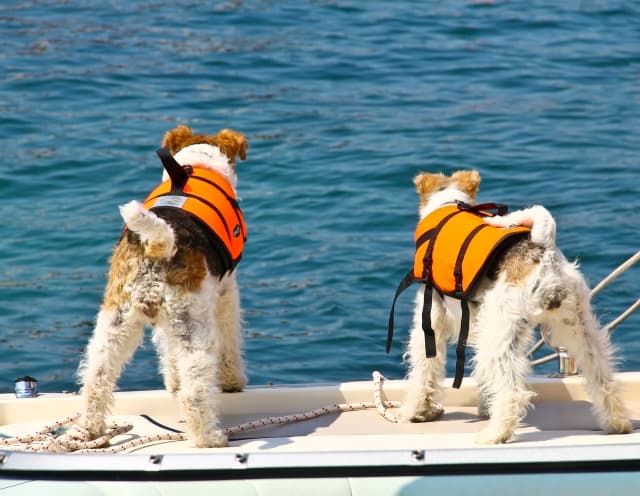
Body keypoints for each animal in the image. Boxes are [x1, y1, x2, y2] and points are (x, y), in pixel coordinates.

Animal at [76, 123, 249, 446]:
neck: (196, 165)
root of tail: (158, 246)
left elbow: (167, 351)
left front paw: (173, 382)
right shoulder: (226, 292)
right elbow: (230, 342)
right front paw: (233, 380)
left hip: (119, 318)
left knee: (96, 376)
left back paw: (92, 429)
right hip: (194, 325)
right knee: (195, 391)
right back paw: (210, 438)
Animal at [390, 171, 632, 446]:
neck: (448, 203)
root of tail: (545, 253)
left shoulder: (430, 322)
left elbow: (423, 372)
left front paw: (413, 412)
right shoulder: (476, 327)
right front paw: (485, 408)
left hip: (501, 334)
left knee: (512, 392)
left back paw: (494, 434)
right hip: (577, 326)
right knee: (603, 378)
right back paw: (618, 423)